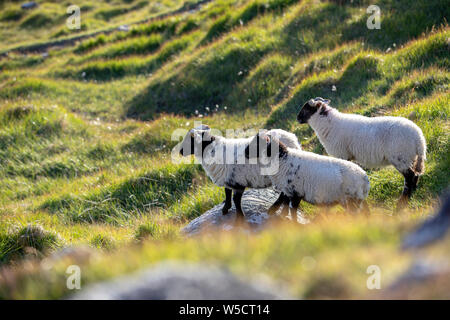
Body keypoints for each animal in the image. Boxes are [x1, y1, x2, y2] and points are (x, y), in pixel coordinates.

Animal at [298, 96, 428, 209]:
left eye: (306, 108)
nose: (297, 119)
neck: (327, 123)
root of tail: (419, 138)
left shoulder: (342, 154)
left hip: (400, 157)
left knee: (410, 176)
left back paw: (403, 200)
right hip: (410, 157)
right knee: (415, 175)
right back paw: (411, 193)